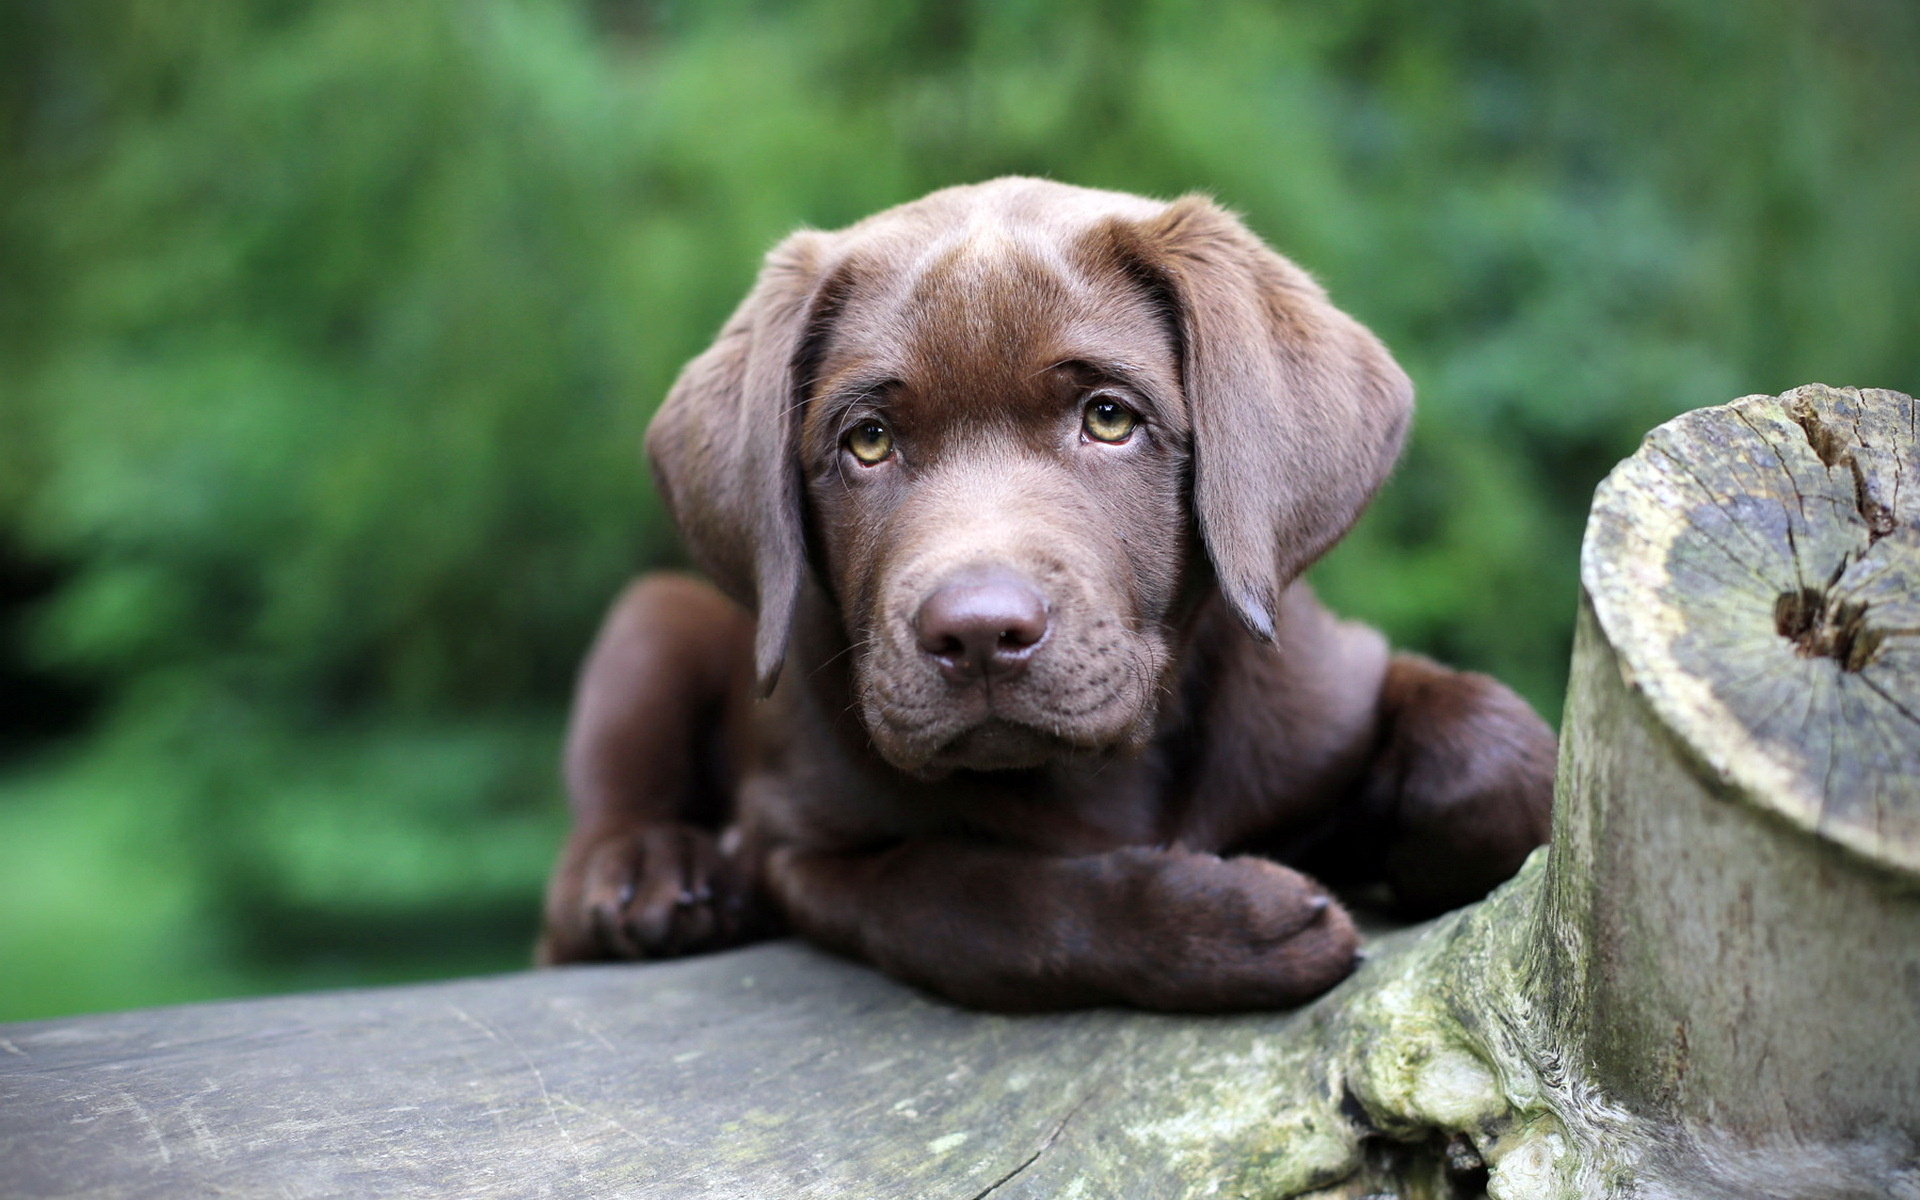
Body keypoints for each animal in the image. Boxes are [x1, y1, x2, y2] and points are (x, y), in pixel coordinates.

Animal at [533, 175, 1551, 1013]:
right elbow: (978, 900)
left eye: (1108, 418)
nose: (979, 634)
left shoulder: (1335, 686)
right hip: (652, 623)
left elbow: (1495, 756)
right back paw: (652, 871)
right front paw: (1230, 927)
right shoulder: (805, 847)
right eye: (867, 441)